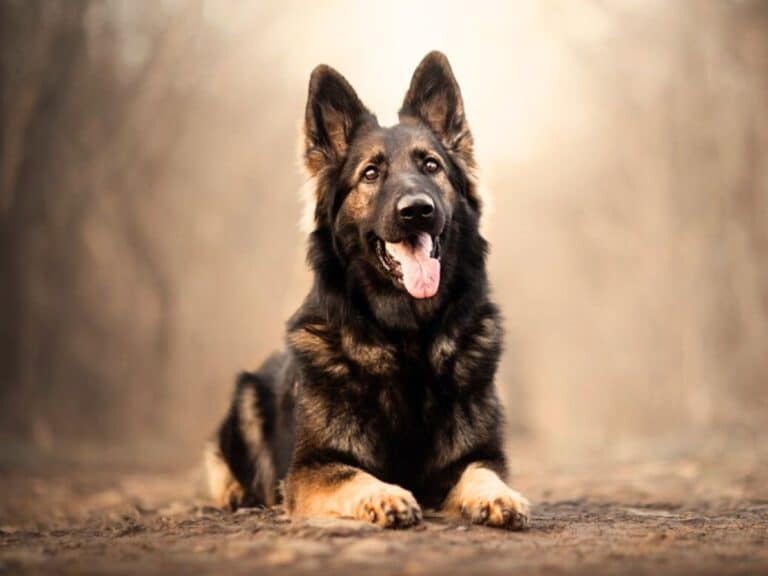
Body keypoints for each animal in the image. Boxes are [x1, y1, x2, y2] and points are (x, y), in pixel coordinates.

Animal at [204, 51, 528, 528]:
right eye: (371, 174)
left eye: (431, 166)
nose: (417, 211)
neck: (408, 338)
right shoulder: (311, 467)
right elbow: (352, 475)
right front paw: (386, 495)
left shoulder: (475, 454)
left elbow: (481, 473)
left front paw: (500, 496)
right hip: (247, 397)